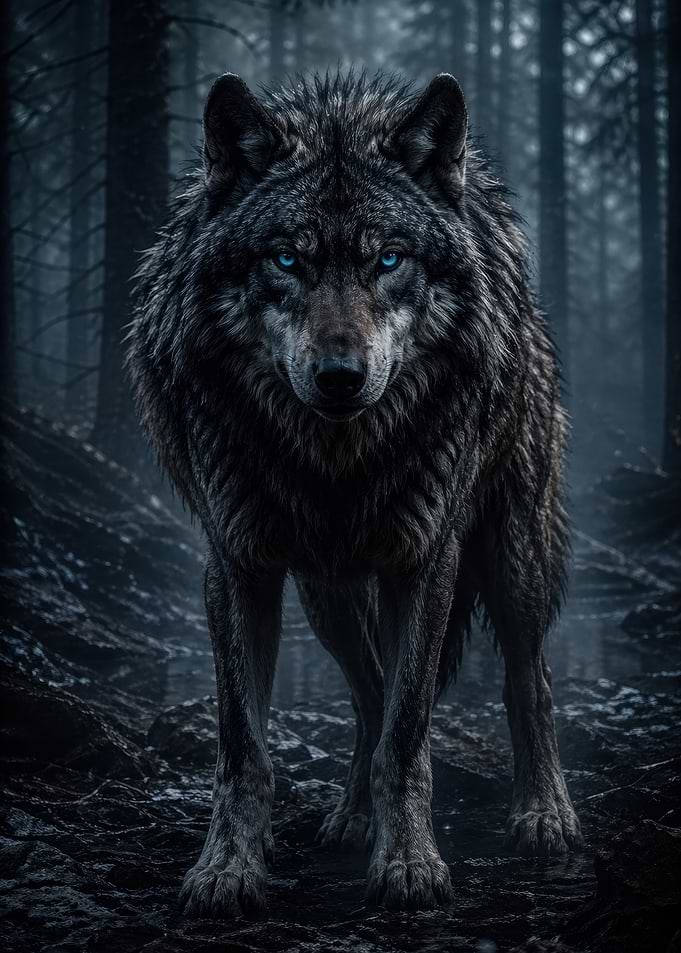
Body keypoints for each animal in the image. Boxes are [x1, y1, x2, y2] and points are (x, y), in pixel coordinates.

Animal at [128, 69, 583, 916]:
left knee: (526, 682)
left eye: (389, 259)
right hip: (326, 594)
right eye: (285, 259)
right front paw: (228, 867)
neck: (336, 460)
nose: (340, 376)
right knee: (368, 692)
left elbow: (407, 736)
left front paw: (407, 862)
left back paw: (543, 813)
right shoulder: (238, 567)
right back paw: (348, 817)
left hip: (513, 558)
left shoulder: (425, 563)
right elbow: (244, 745)